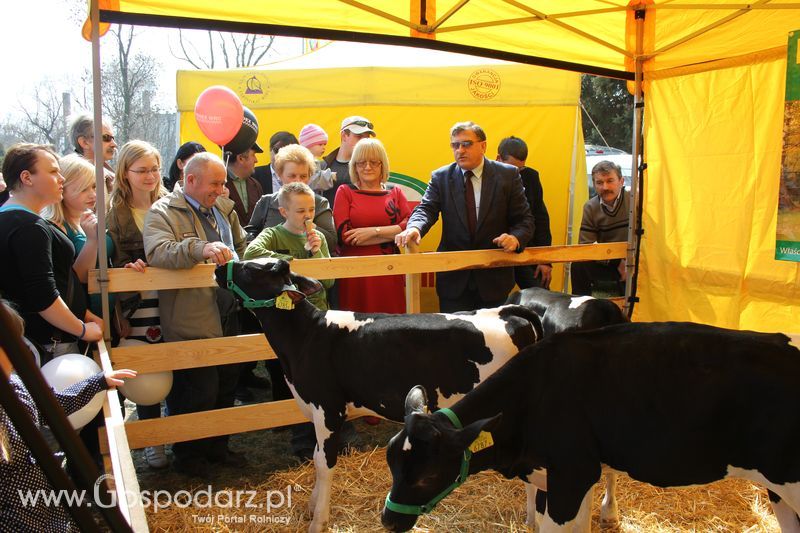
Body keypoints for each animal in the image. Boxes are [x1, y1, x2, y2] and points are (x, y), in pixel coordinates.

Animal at [214, 258, 544, 532]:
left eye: (251, 269)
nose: (218, 267)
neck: (305, 337)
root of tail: (504, 311)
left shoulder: (328, 409)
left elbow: (324, 462)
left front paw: (318, 519)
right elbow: (317, 456)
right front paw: (311, 506)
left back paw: (531, 518)